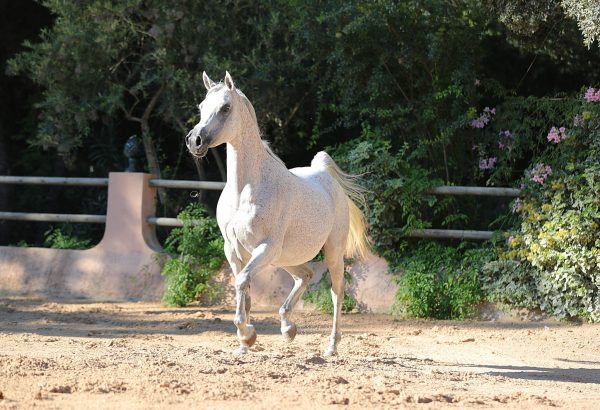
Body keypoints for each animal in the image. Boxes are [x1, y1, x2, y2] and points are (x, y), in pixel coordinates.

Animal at [185, 70, 368, 356]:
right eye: (202, 107)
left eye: (226, 107)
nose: (195, 141)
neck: (245, 190)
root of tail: (326, 176)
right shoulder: (233, 251)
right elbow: (245, 292)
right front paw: (244, 345)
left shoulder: (264, 248)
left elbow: (242, 282)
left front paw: (248, 335)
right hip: (286, 258)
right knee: (304, 276)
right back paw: (288, 328)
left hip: (331, 252)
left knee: (337, 293)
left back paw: (331, 346)